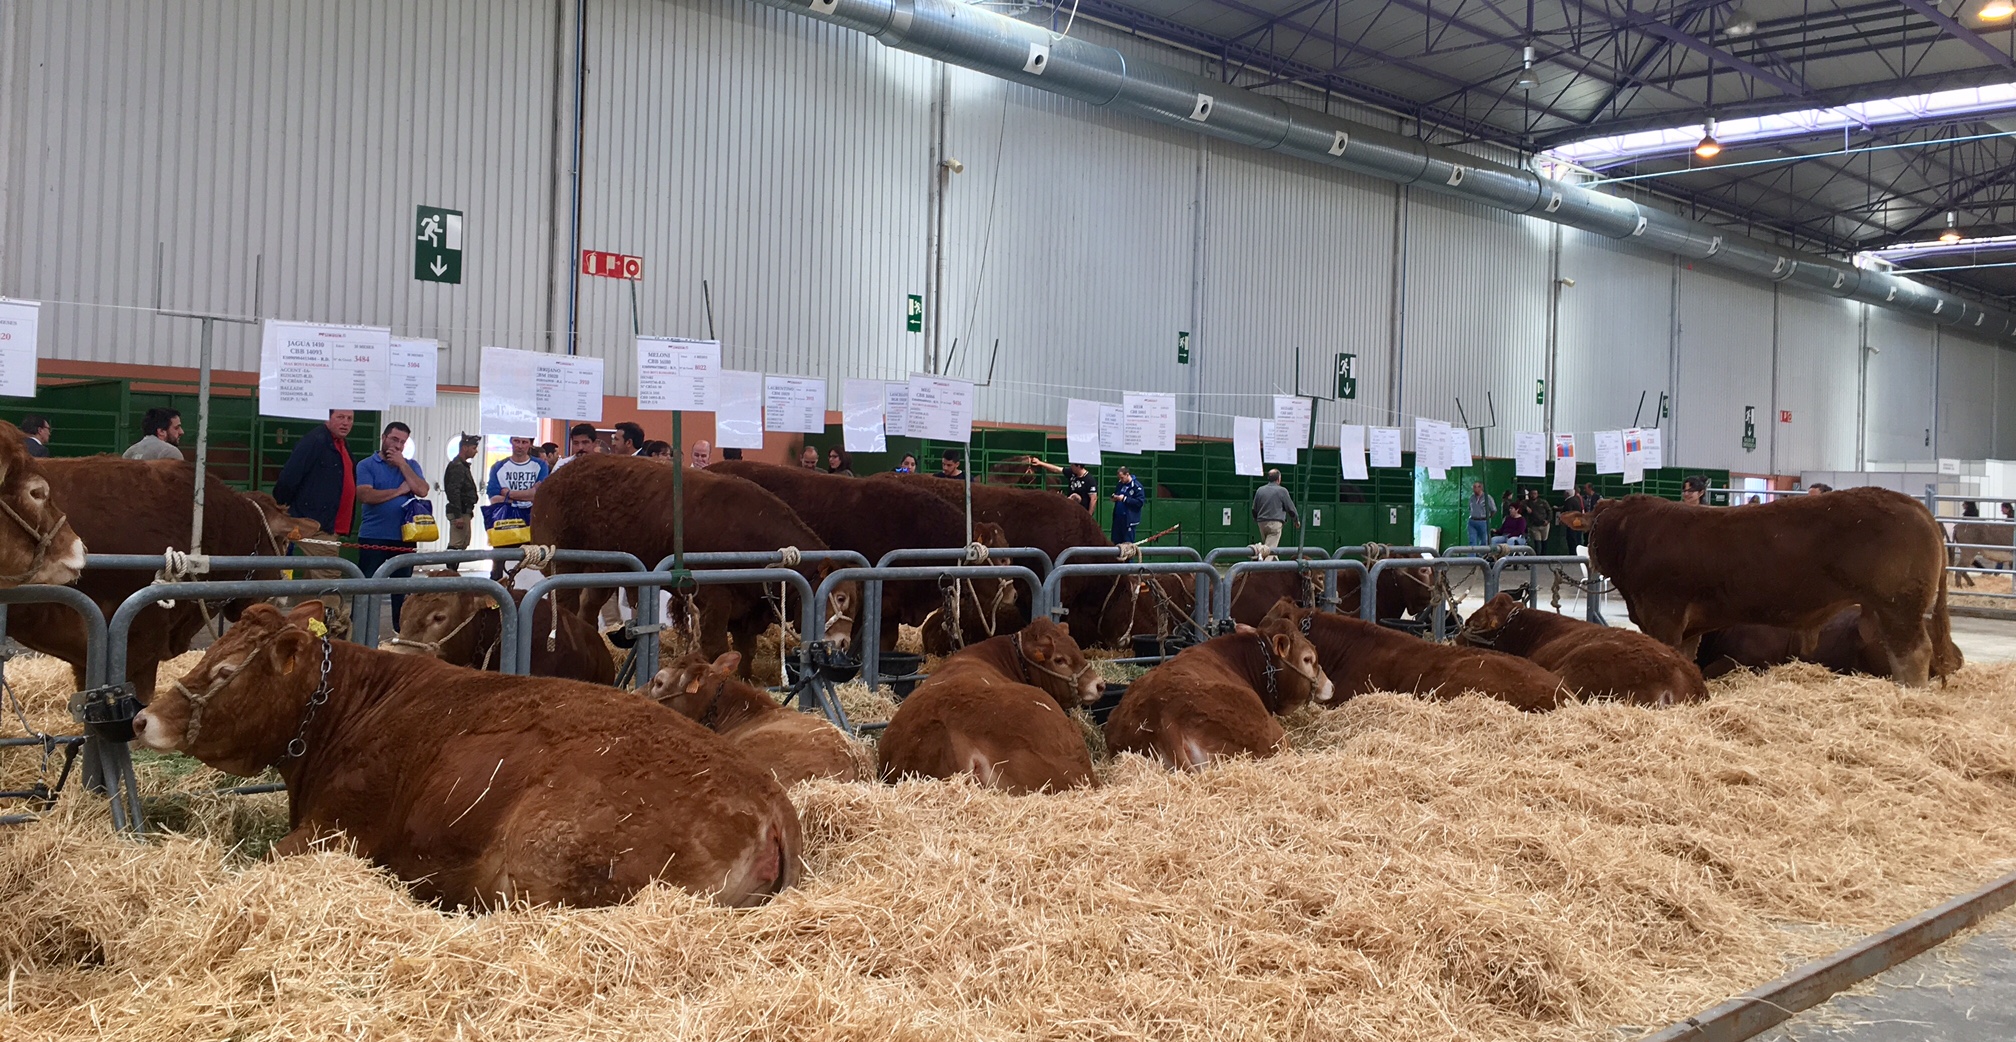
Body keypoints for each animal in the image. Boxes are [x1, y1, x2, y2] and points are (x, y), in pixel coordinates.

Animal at [530, 454, 857, 678]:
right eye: (840, 597)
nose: (843, 643)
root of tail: (555, 477)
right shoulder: (714, 600)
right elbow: (718, 649)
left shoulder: (747, 610)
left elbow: (745, 651)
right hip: (564, 565)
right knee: (566, 606)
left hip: (603, 570)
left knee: (588, 607)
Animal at [1562, 489, 1957, 685]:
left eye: (1593, 530)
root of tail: (1913, 505)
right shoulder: (1690, 628)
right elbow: (1686, 659)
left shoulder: (1664, 614)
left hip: (1899, 606)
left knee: (1913, 654)